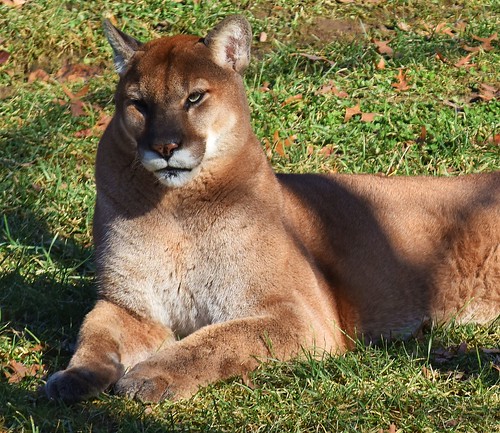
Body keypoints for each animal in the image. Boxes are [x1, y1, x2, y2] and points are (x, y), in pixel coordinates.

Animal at [45, 16, 498, 402]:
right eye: (138, 104)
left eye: (194, 97)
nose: (165, 147)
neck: (177, 210)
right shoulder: (128, 305)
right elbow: (94, 333)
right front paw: (75, 376)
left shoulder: (299, 314)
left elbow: (218, 340)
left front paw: (151, 375)